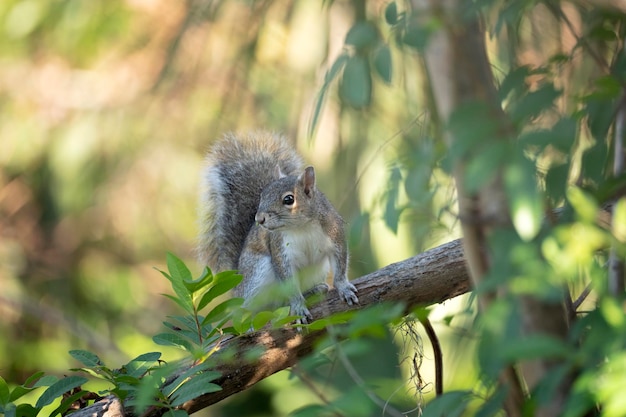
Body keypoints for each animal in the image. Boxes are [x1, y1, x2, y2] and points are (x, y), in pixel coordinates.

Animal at [197, 130, 358, 322]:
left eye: (289, 199)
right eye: (262, 195)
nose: (259, 219)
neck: (302, 227)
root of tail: (238, 287)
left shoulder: (335, 234)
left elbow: (340, 266)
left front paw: (344, 288)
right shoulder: (281, 250)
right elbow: (288, 281)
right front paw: (298, 306)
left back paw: (314, 290)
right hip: (258, 273)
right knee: (258, 307)